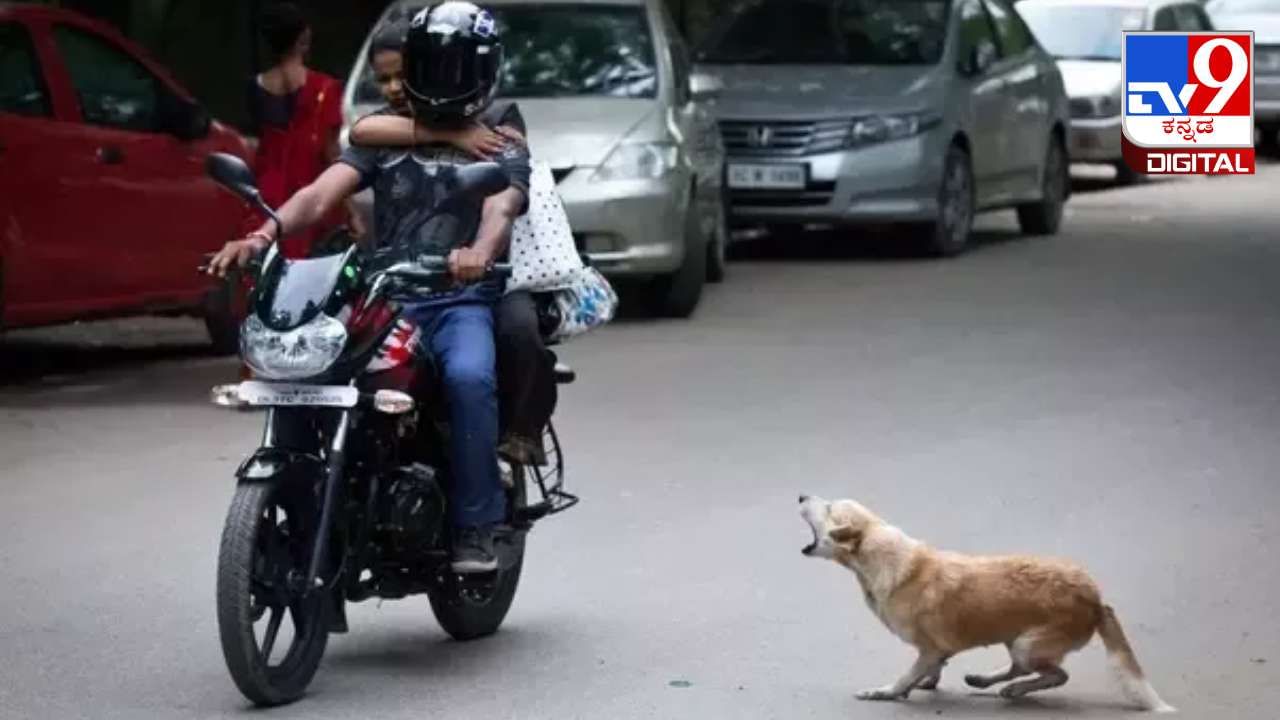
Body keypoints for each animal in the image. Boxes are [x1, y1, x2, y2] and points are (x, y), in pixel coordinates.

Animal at [798, 489, 1177, 707]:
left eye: (828, 507)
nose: (801, 496)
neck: (882, 557)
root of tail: (1095, 598)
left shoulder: (929, 648)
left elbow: (907, 675)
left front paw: (886, 692)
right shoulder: (937, 650)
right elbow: (931, 668)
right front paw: (928, 681)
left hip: (1028, 644)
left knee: (1056, 675)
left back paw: (1015, 691)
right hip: (1017, 640)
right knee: (1018, 669)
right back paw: (984, 681)